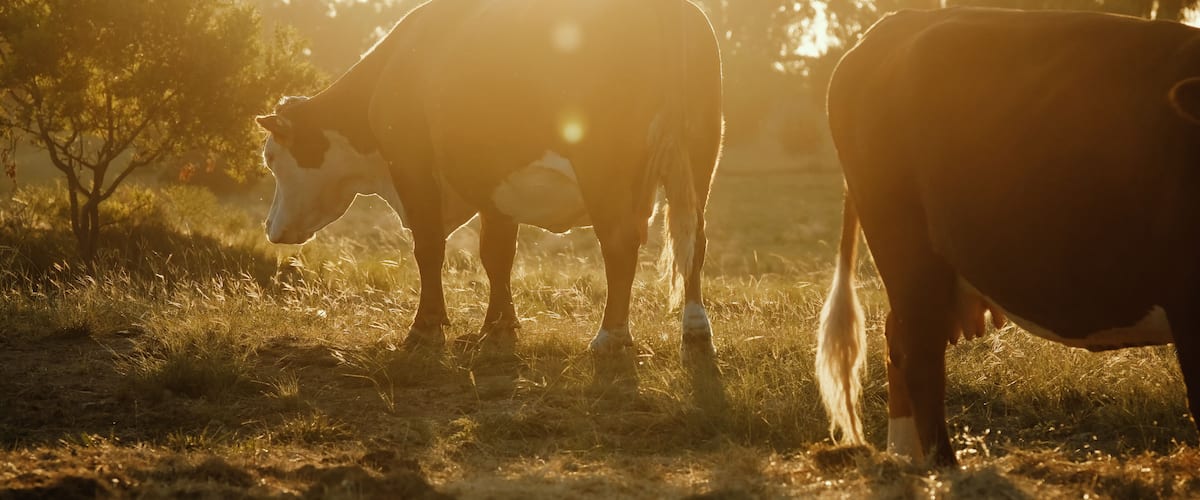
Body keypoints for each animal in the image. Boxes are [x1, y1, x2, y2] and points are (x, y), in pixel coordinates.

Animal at [253, 0, 724, 384]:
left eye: (271, 157)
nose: (269, 226)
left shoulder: (412, 164)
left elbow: (428, 248)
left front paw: (425, 329)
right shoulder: (494, 186)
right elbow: (497, 254)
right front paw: (497, 327)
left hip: (604, 167)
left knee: (620, 243)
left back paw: (610, 337)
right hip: (700, 157)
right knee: (693, 241)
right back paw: (696, 332)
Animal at [818, 7, 1200, 465]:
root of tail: (895, 22)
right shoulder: (1189, 300)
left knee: (899, 337)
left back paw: (907, 457)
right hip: (904, 247)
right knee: (918, 353)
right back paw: (944, 467)